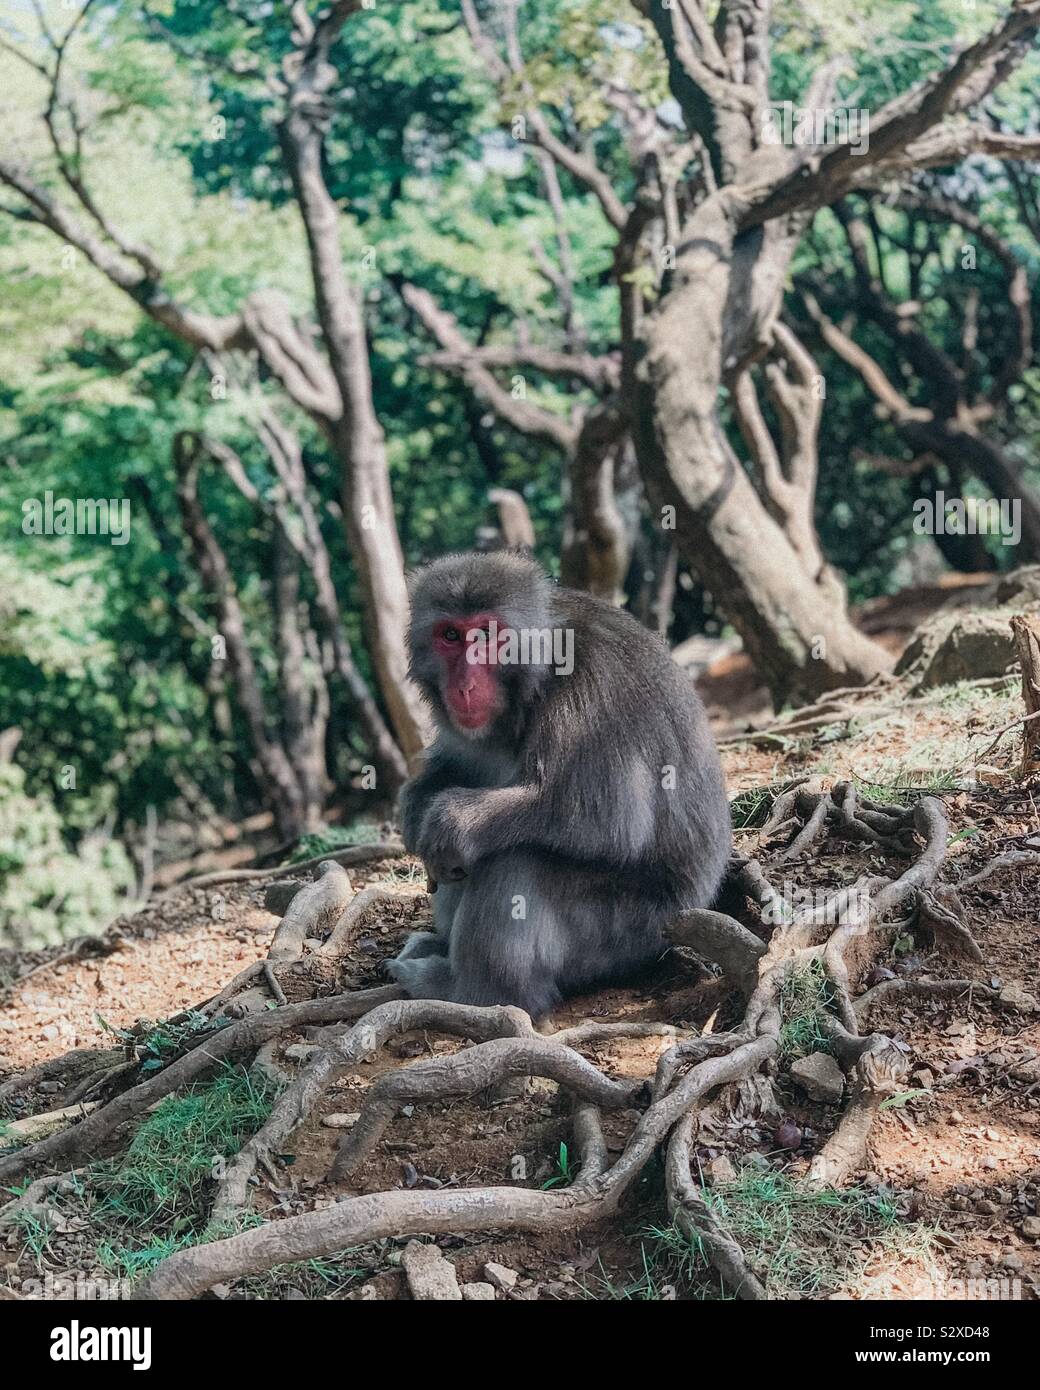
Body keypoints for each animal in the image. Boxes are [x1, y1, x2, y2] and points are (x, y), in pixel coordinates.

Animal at [386, 553, 734, 1023]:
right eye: (451, 636)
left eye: (488, 635)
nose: (464, 685)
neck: (541, 668)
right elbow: (458, 765)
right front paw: (416, 802)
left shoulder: (589, 688)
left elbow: (608, 818)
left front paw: (450, 821)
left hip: (627, 929)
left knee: (514, 860)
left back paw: (474, 992)